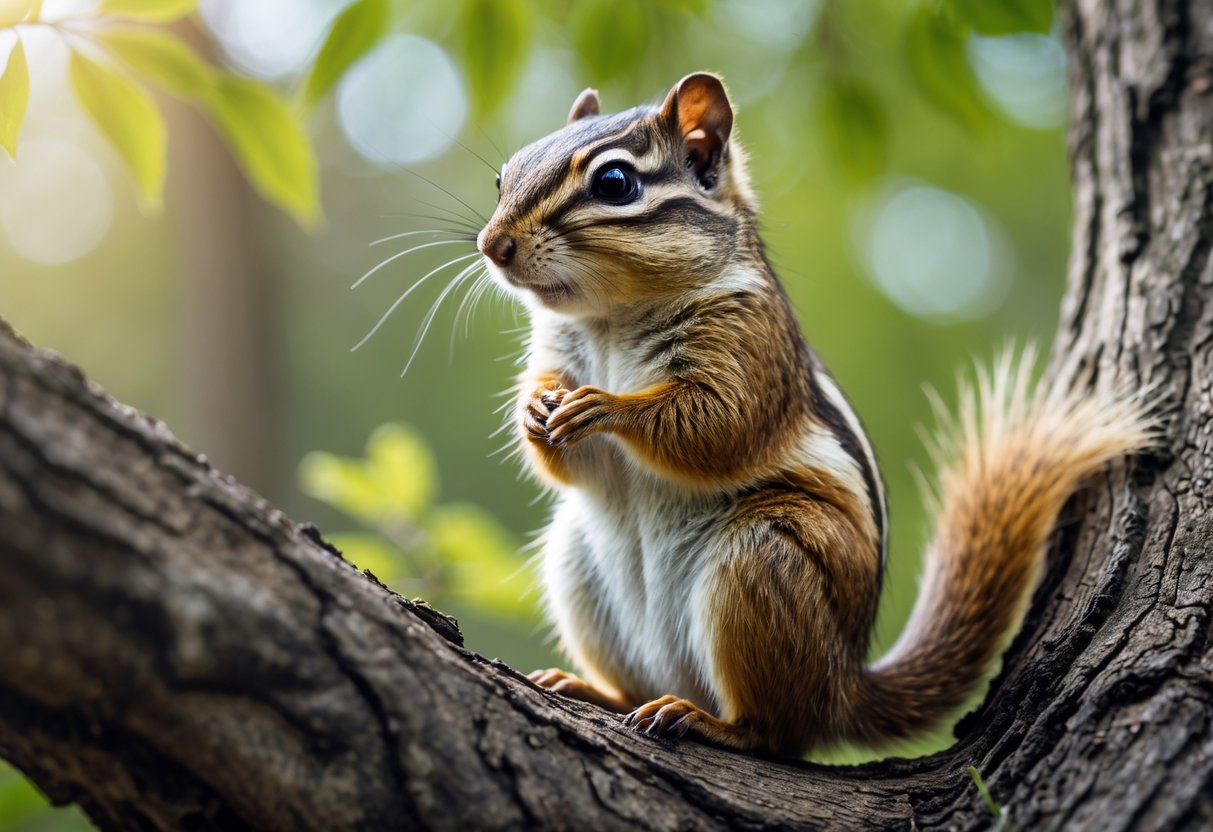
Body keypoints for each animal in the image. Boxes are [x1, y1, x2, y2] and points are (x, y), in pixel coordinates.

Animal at [474, 72, 1155, 759]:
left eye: (615, 183)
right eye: (504, 176)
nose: (491, 246)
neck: (610, 318)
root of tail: (845, 685)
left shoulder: (749, 345)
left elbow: (717, 426)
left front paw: (603, 405)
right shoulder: (559, 350)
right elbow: (573, 462)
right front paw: (534, 409)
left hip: (763, 560)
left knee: (777, 730)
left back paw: (711, 721)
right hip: (577, 560)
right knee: (641, 685)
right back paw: (593, 689)